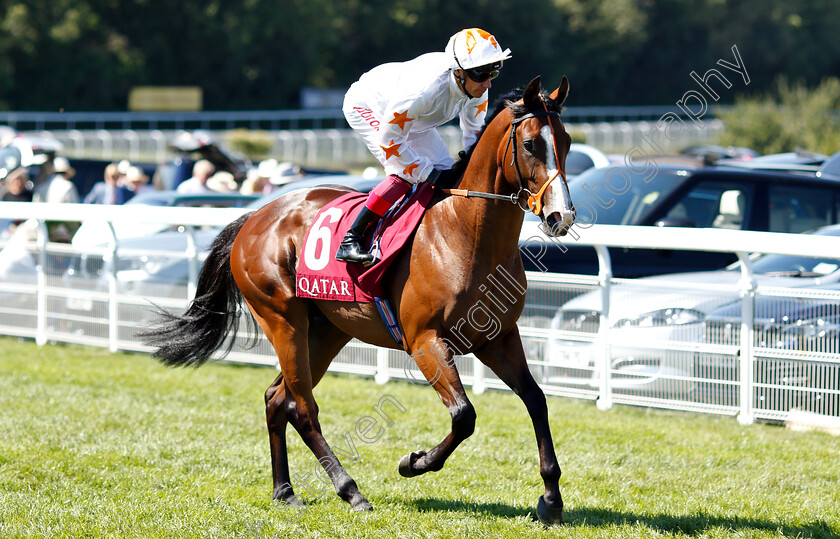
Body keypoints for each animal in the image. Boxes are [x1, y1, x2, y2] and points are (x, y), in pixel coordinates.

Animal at [144, 75, 576, 524]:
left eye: (566, 141)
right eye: (531, 144)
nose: (561, 216)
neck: (464, 233)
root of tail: (253, 217)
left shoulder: (499, 339)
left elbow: (536, 400)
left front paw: (551, 499)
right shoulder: (425, 342)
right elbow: (464, 415)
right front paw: (413, 462)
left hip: (326, 331)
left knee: (277, 399)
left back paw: (284, 490)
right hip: (282, 319)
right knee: (302, 407)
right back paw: (350, 490)